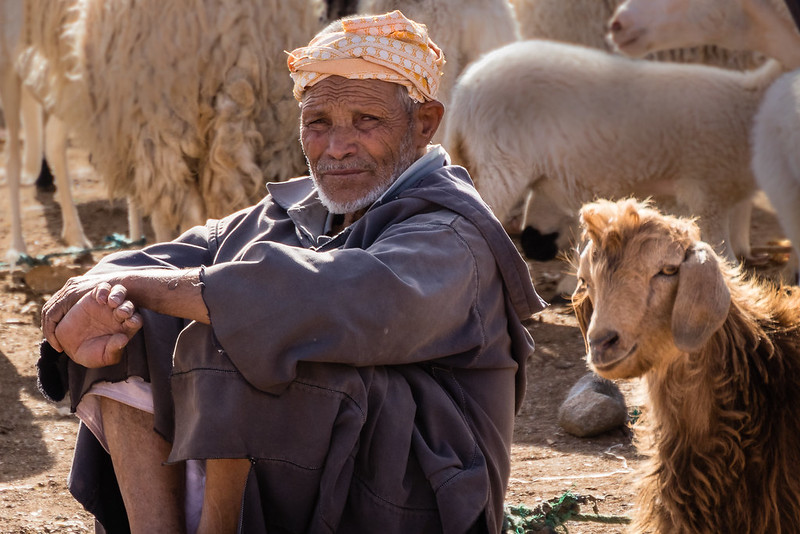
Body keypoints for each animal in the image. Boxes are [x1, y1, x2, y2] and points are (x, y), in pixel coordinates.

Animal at [444, 38, 788, 264]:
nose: (534, 244)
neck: (746, 102)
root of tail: (465, 91)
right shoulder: (708, 194)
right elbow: (722, 255)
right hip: (501, 164)